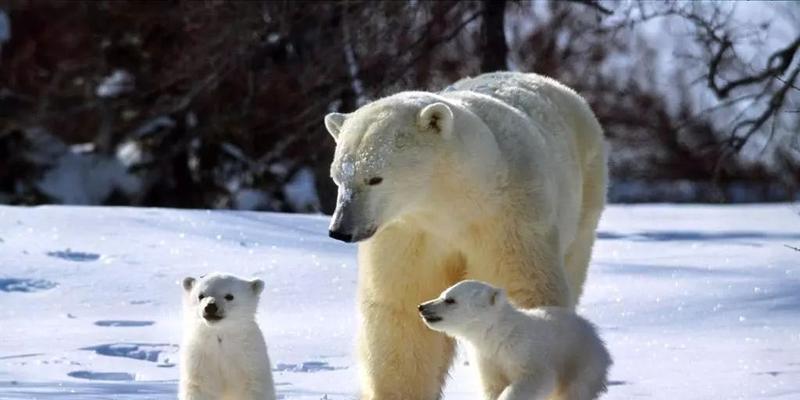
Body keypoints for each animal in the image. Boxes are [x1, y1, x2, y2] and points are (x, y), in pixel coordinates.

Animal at [180, 272, 276, 400]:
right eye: (201, 295)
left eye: (229, 296)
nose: (211, 306)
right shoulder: (200, 356)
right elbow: (200, 386)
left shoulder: (249, 360)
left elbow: (253, 388)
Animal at [422, 282, 608, 400]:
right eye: (442, 294)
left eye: (450, 299)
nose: (422, 307)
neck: (499, 334)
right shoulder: (487, 359)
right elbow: (492, 386)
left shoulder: (525, 351)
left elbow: (534, 378)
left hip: (581, 361)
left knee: (574, 391)